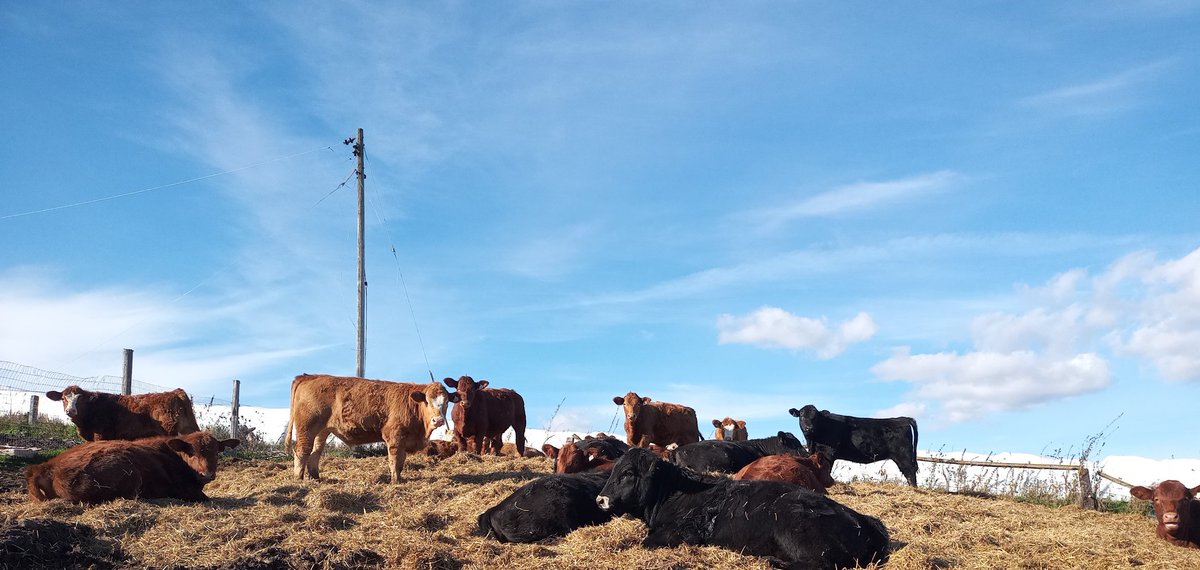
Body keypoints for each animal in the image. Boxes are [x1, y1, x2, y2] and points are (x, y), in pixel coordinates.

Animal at [45, 386, 199, 442]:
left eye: (80, 398)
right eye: (63, 398)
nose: (70, 411)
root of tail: (175, 392)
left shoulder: (101, 436)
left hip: (169, 432)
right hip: (189, 428)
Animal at [284, 373, 458, 482]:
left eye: (446, 402)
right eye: (427, 401)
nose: (438, 420)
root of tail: (309, 376)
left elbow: (401, 461)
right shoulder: (394, 436)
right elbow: (395, 461)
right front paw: (395, 481)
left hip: (322, 431)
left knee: (315, 453)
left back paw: (316, 478)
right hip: (307, 428)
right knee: (302, 451)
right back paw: (299, 479)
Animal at [595, 448, 890, 569]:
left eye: (628, 473)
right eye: (613, 471)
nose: (600, 500)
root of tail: (862, 519)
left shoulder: (682, 532)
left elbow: (646, 542)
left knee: (824, 563)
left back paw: (773, 561)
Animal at [790, 405, 919, 487]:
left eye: (815, 417)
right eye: (802, 416)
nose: (809, 428)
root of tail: (902, 419)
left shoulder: (828, 453)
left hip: (903, 455)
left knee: (910, 472)